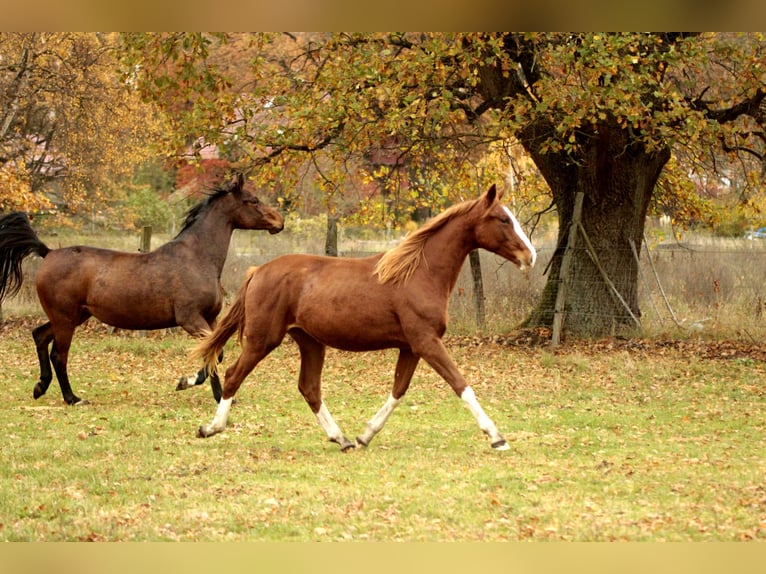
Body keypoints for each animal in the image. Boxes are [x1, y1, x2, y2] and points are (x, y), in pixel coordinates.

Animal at [0, 176, 284, 404]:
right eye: (253, 200)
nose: (280, 221)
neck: (197, 258)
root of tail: (48, 252)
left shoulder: (211, 319)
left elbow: (215, 353)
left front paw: (219, 396)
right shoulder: (190, 319)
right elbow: (214, 353)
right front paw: (185, 383)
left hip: (74, 317)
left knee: (39, 336)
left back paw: (40, 387)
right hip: (65, 319)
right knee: (59, 354)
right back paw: (73, 398)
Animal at [195, 184, 536, 450]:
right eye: (503, 219)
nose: (529, 256)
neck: (418, 273)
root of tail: (257, 271)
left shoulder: (410, 347)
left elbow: (398, 390)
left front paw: (365, 436)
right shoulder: (427, 342)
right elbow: (461, 385)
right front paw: (497, 437)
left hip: (310, 343)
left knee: (309, 388)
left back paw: (342, 439)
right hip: (262, 339)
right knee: (234, 375)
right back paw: (211, 428)